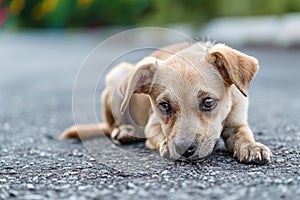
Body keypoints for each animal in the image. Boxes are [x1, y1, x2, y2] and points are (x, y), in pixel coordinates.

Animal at [60, 41, 272, 164]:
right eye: (164, 105)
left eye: (208, 102)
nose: (184, 149)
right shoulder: (152, 125)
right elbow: (161, 134)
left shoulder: (237, 122)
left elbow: (243, 134)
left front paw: (252, 147)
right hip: (116, 77)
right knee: (112, 125)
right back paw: (125, 132)